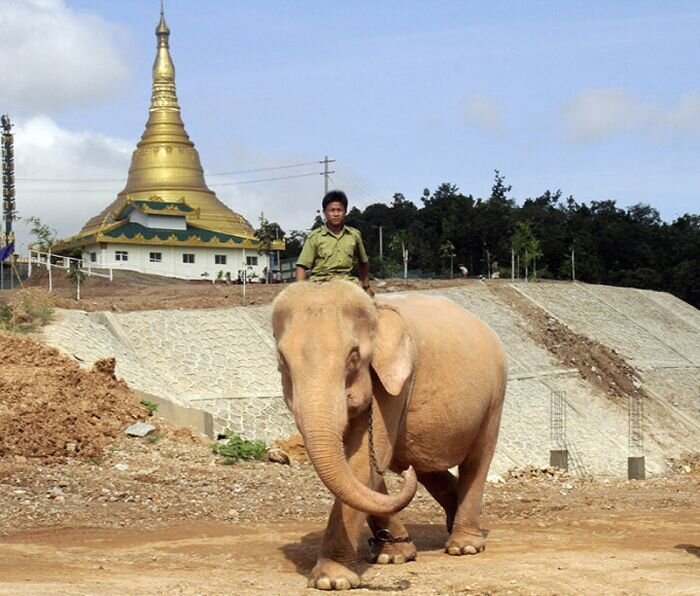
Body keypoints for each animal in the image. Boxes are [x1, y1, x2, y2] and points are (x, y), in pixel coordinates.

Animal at [270, 282, 506, 588]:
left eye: (354, 356)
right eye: (282, 360)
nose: (404, 476)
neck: (375, 313)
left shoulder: (394, 385)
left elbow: (366, 460)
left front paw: (331, 581)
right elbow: (363, 467)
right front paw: (392, 557)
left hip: (495, 396)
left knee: (478, 459)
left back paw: (464, 546)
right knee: (425, 467)